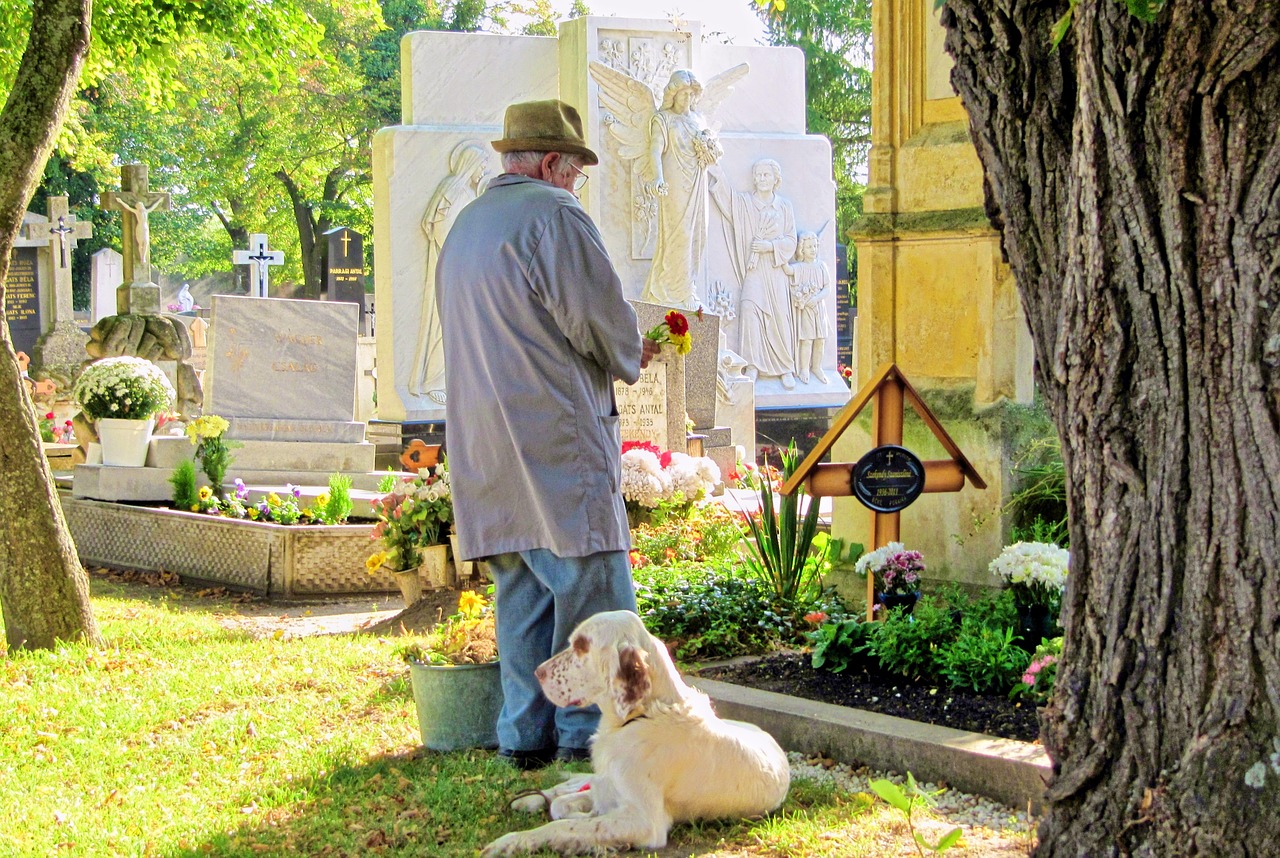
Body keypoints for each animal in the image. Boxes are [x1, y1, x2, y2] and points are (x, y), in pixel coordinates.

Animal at [481, 609, 788, 855]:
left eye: (581, 646)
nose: (538, 672)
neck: (642, 716)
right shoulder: (608, 785)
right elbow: (566, 807)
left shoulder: (645, 821)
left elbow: (565, 826)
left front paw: (511, 841)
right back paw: (531, 798)